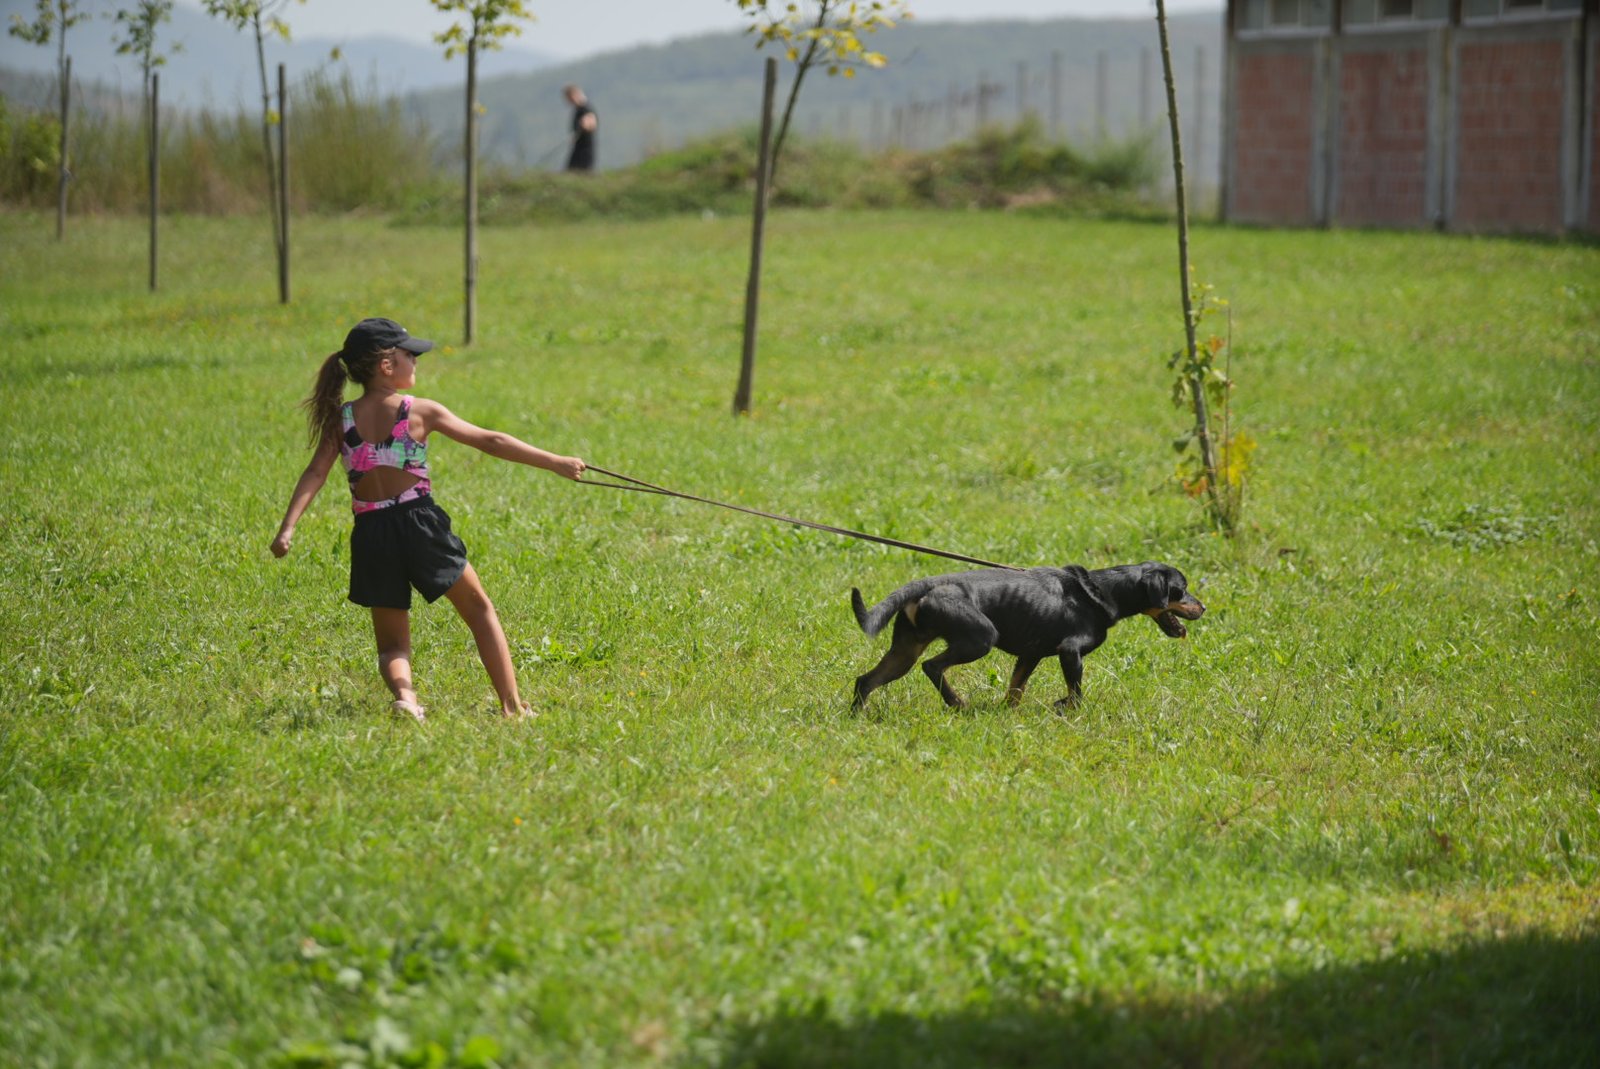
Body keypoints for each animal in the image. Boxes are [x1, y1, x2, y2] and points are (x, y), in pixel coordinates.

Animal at [851, 560, 1203, 710]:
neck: (1102, 591)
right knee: (932, 667)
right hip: (979, 639)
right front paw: (1069, 709)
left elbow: (1015, 690)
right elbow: (1076, 693)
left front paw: (1007, 714)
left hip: (904, 652)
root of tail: (928, 584)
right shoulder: (1070, 652)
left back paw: (860, 716)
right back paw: (957, 703)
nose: (1203, 607)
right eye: (1181, 589)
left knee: (865, 681)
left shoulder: (1030, 656)